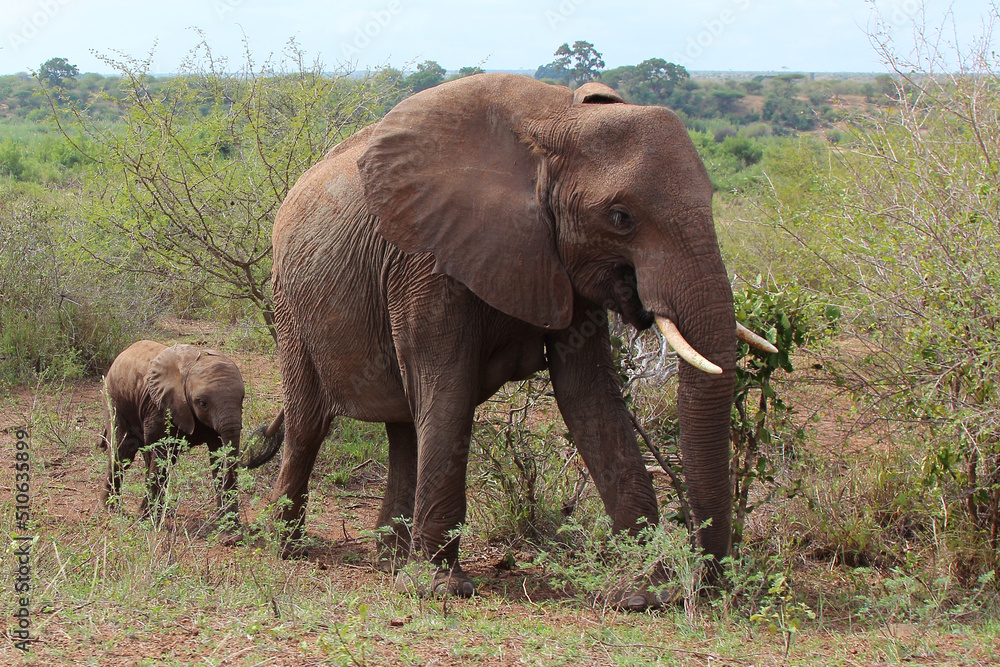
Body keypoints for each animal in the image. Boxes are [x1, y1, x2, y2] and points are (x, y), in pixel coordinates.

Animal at [98, 340, 269, 539]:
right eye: (202, 403)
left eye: (242, 398)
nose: (233, 538)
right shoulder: (159, 408)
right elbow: (161, 457)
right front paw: (148, 521)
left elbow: (218, 459)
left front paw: (230, 532)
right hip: (113, 397)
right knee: (124, 450)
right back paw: (111, 508)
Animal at [266, 73, 775, 602]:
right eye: (620, 217)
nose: (705, 583)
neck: (555, 122)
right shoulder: (427, 257)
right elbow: (448, 391)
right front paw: (442, 589)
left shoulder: (561, 263)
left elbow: (588, 396)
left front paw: (640, 594)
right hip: (289, 304)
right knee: (310, 422)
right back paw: (287, 547)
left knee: (403, 424)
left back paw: (388, 562)